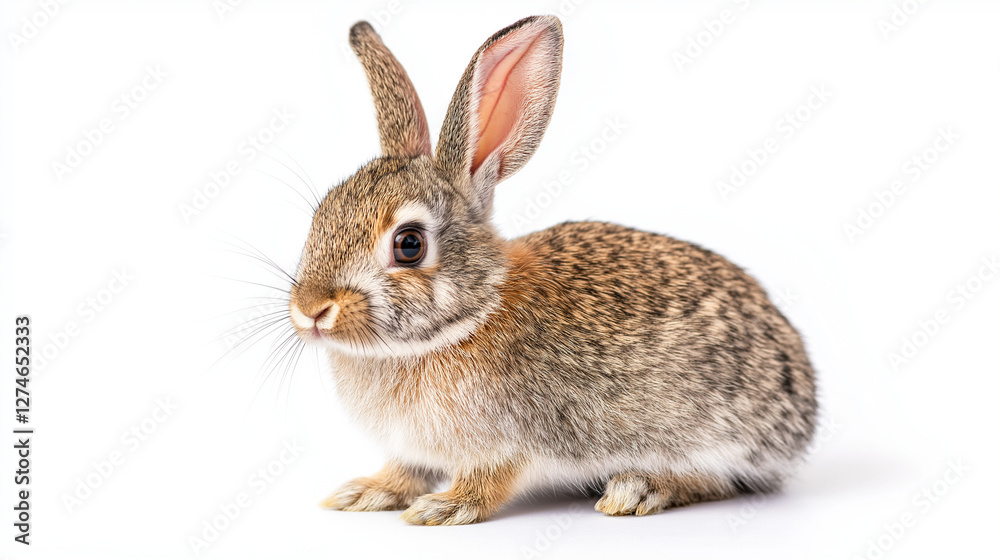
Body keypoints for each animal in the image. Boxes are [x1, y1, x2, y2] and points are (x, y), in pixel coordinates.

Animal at [287, 15, 817, 525]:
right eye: (319, 216)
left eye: (409, 245)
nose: (311, 310)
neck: (468, 318)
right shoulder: (412, 450)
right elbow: (405, 472)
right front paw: (364, 493)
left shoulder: (508, 443)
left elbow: (487, 482)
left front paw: (444, 508)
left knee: (716, 480)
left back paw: (638, 489)